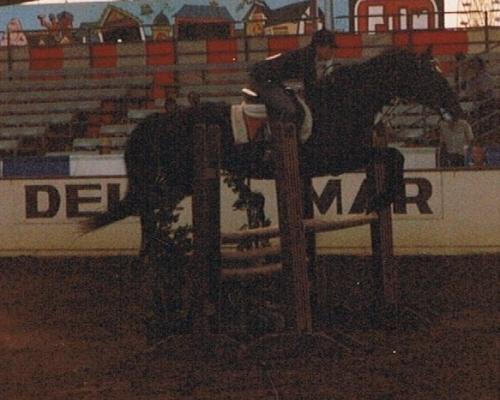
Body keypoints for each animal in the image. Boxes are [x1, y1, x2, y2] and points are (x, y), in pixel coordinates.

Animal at [84, 47, 462, 253]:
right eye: (431, 77)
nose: (456, 109)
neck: (344, 102)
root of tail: (159, 120)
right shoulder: (338, 158)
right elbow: (394, 155)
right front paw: (382, 198)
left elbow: (393, 155)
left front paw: (382, 197)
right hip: (180, 179)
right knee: (148, 207)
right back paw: (153, 250)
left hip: (182, 182)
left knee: (149, 207)